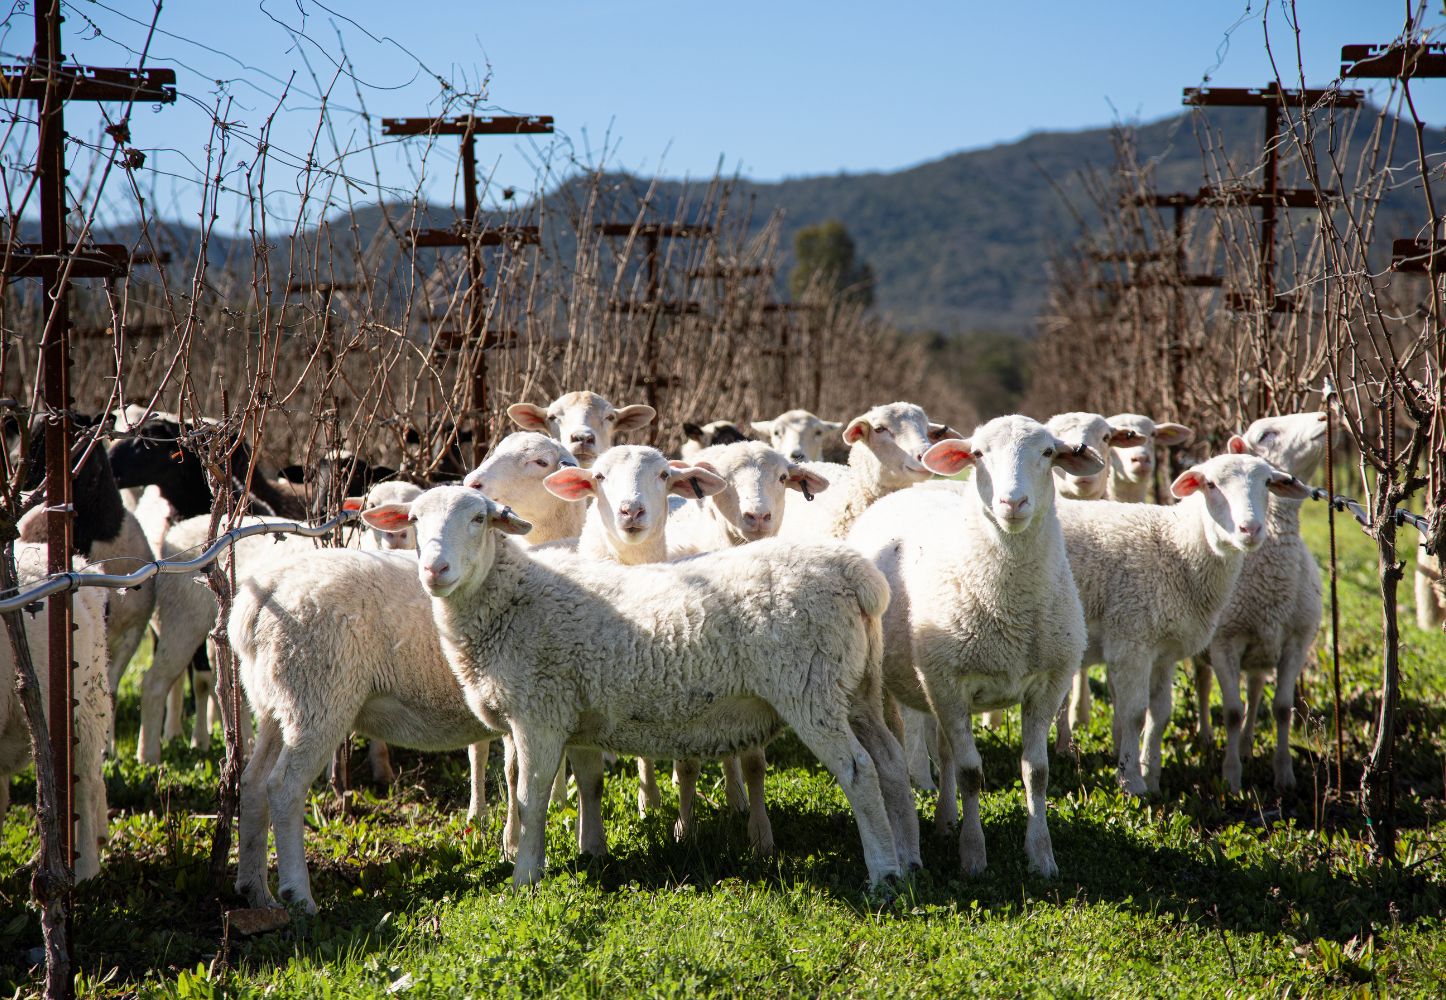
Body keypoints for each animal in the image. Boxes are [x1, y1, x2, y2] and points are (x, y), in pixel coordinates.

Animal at [232, 547, 496, 913]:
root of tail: (265, 589)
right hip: (318, 696)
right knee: (285, 787)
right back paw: (299, 897)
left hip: (274, 702)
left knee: (254, 782)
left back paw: (257, 892)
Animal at [362, 487, 918, 888]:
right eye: (414, 522)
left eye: (478, 519)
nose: (435, 570)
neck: (512, 600)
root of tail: (855, 574)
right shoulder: (575, 716)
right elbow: (589, 784)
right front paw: (591, 852)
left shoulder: (538, 713)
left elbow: (530, 796)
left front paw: (525, 877)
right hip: (856, 688)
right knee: (891, 763)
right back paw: (910, 859)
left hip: (810, 687)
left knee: (858, 770)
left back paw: (884, 875)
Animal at [848, 417, 1098, 875]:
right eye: (979, 454)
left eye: (1048, 453)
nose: (1012, 502)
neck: (1012, 609)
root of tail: (913, 490)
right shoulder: (947, 683)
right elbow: (970, 773)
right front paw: (974, 857)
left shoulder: (1049, 684)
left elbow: (1036, 772)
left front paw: (1041, 857)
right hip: (895, 682)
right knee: (908, 751)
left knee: (944, 751)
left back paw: (946, 819)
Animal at [1055, 448, 1308, 794]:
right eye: (1211, 485)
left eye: (1268, 483)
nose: (1251, 529)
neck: (1176, 547)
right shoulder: (1131, 640)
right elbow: (1134, 714)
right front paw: (1132, 782)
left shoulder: (1164, 649)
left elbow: (1160, 714)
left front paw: (1152, 775)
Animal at [1200, 413, 1326, 793]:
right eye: (1265, 435)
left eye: (1270, 481)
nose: (1323, 415)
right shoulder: (1223, 642)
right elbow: (1231, 712)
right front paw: (1231, 778)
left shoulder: (1297, 640)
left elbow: (1282, 708)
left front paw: (1284, 775)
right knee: (1202, 683)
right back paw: (1208, 736)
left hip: (1260, 649)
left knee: (1255, 690)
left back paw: (1245, 743)